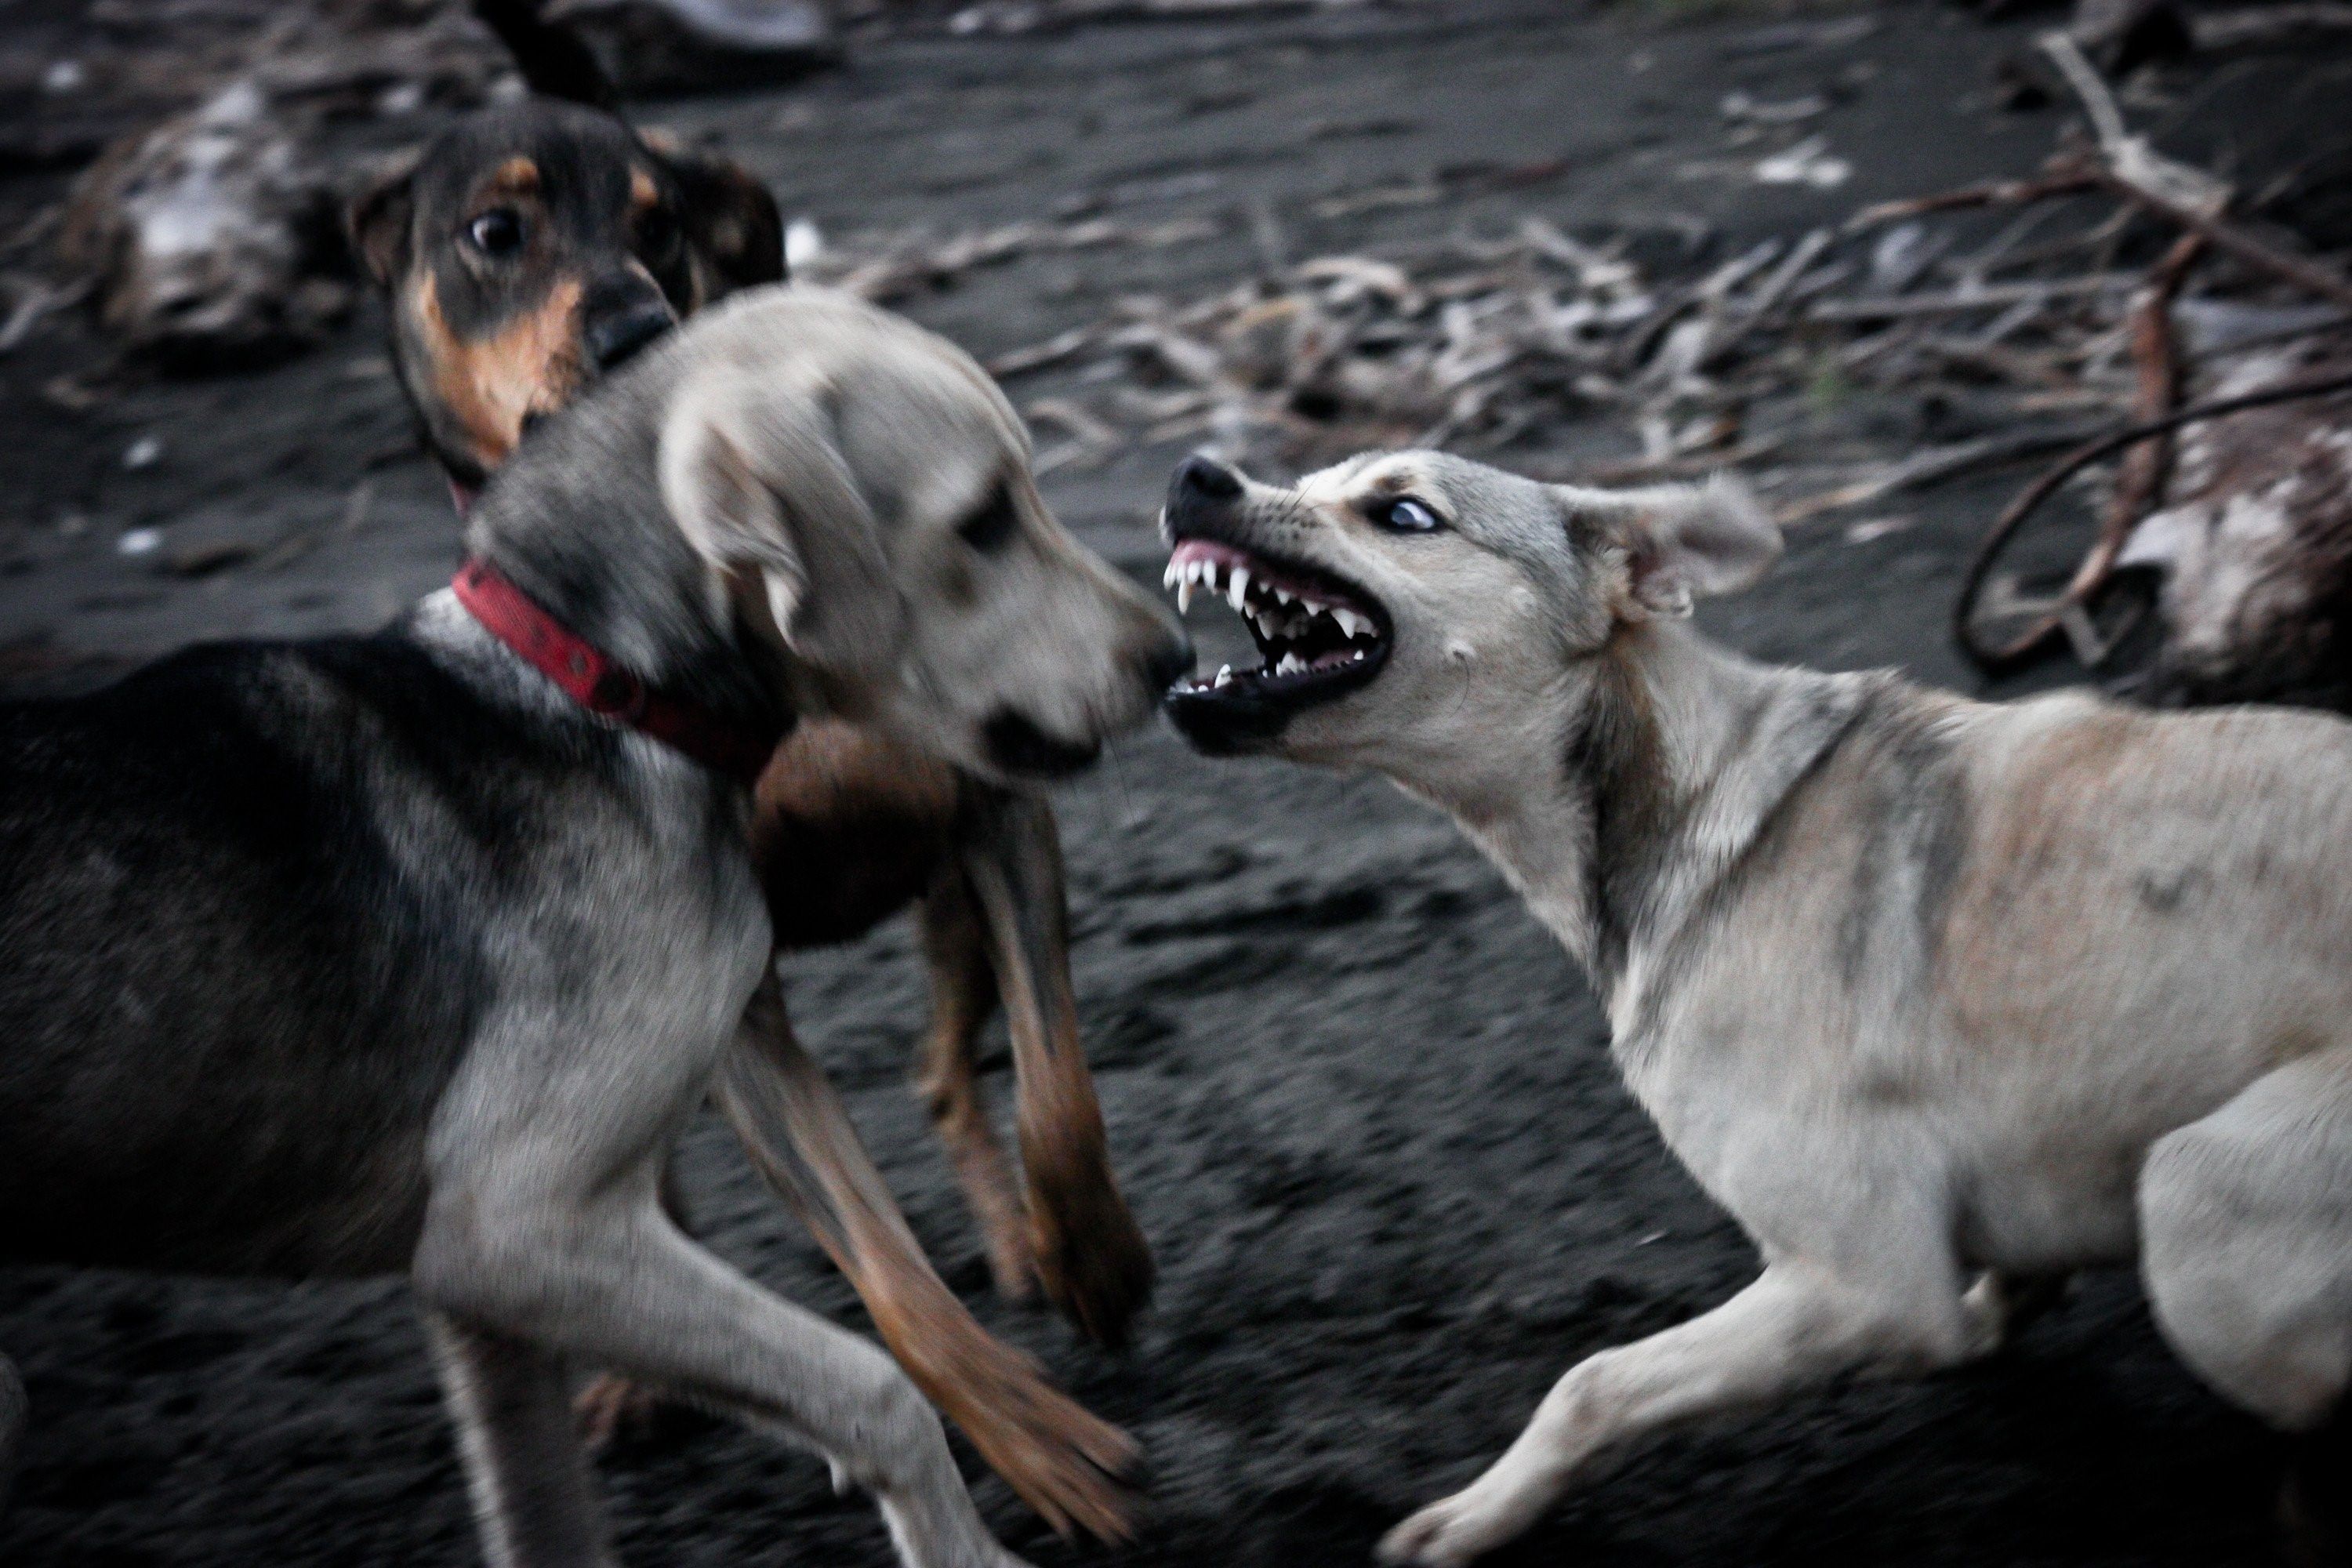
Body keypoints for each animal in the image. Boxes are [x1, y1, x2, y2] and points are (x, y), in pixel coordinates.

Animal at [0, 285, 1176, 1568]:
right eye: (983, 521)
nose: (1172, 656)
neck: (591, 688)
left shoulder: (487, 1300)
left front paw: (1084, 1264)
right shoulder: (514, 1230)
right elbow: (879, 1375)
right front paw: (988, 1514)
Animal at [1157, 446, 2352, 1561]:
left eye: (1404, 513)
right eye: (1316, 477)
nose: (1195, 474)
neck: (1684, 794)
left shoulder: (1861, 1286)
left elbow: (1591, 1383)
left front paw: (1479, 1515)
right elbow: (2008, 1272)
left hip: (2200, 1205)